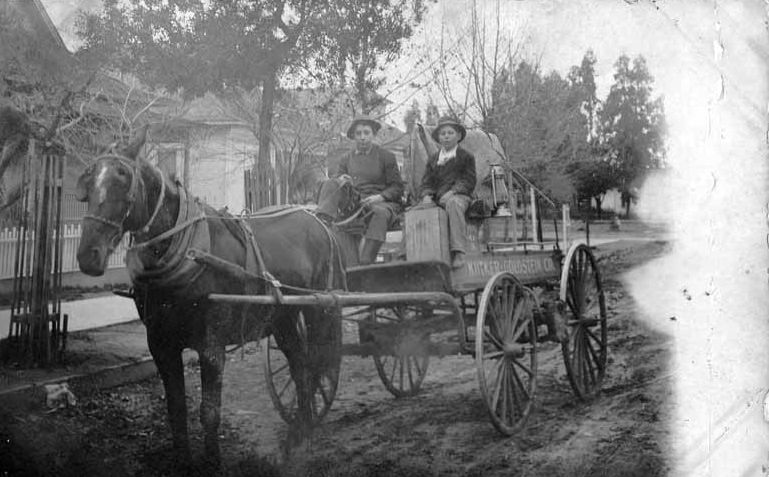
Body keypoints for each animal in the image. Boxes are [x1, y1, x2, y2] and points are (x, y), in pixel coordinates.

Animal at [75, 128, 344, 466]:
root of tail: (318, 221)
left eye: (123, 177)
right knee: (300, 365)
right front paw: (182, 461)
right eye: (89, 179)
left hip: (317, 308)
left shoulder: (211, 346)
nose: (89, 255)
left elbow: (209, 412)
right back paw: (299, 432)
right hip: (283, 316)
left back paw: (305, 432)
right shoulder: (161, 345)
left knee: (313, 363)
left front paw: (213, 461)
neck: (188, 252)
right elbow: (176, 410)